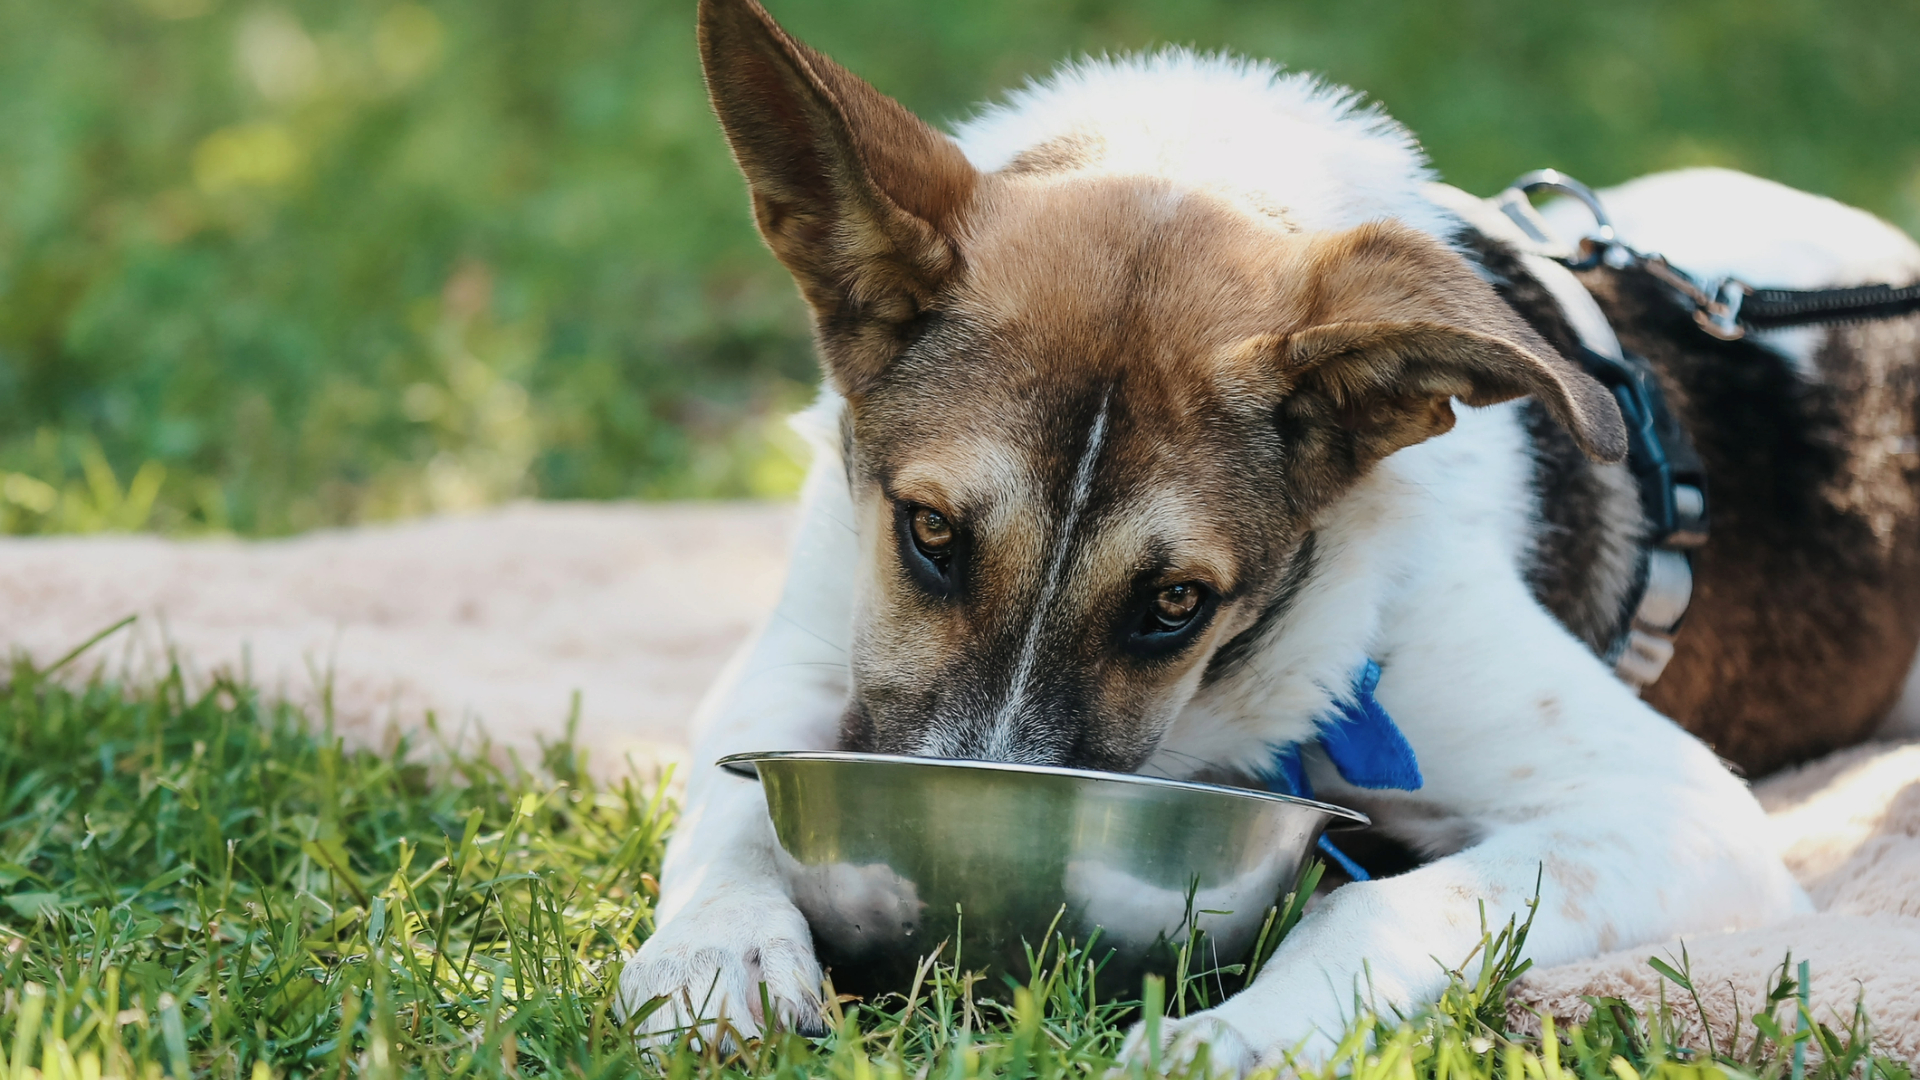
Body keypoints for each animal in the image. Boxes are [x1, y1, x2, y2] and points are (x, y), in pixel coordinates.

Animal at [614, 0, 1920, 1060]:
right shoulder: (801, 651)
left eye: (1175, 603)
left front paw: (1225, 1039)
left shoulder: (1675, 813)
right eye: (931, 532)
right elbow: (732, 810)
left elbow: (1378, 900)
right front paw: (716, 956)